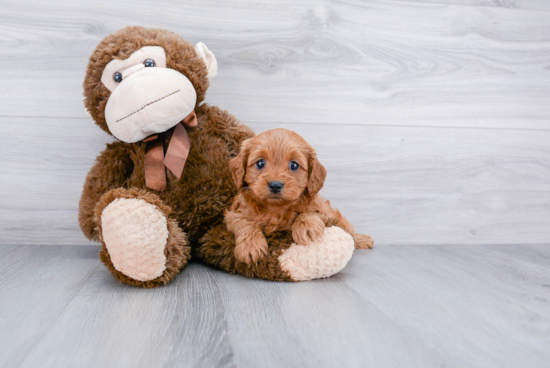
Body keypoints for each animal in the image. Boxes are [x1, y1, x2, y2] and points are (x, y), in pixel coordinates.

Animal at [225, 128, 376, 264]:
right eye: (260, 163)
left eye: (294, 165)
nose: (275, 185)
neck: (276, 209)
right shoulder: (234, 214)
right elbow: (245, 222)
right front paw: (250, 246)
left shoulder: (325, 211)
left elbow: (310, 211)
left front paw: (307, 227)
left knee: (350, 232)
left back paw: (362, 239)